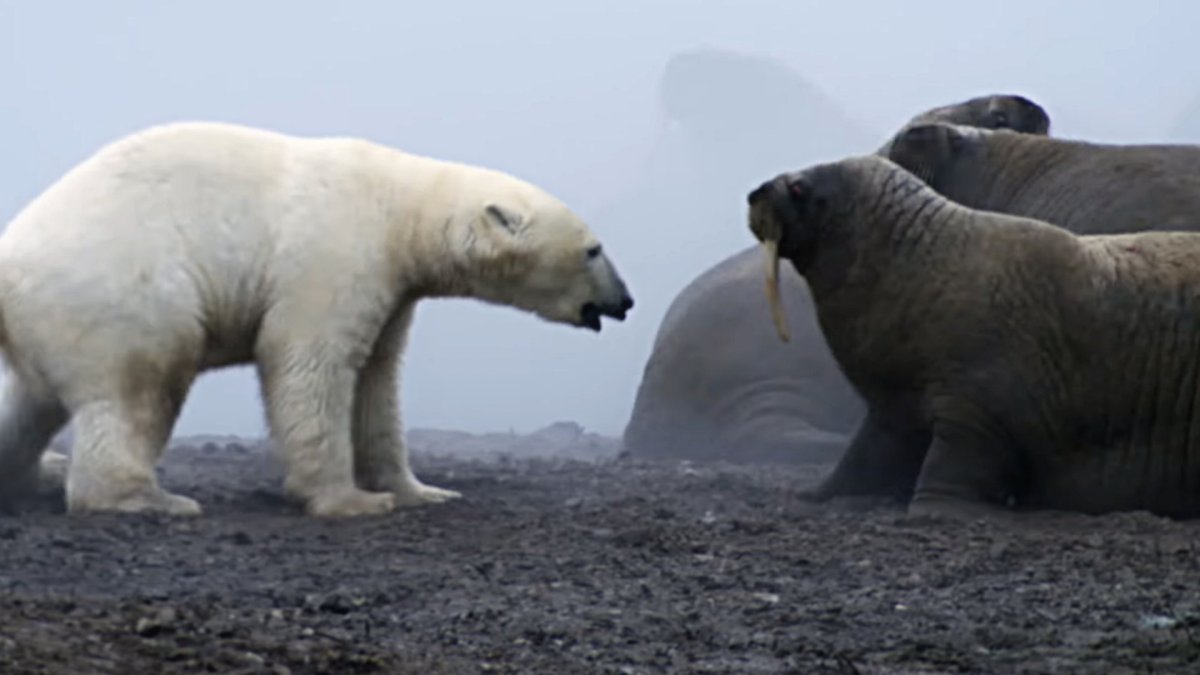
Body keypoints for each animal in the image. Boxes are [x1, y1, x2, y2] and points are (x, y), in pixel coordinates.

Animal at [0, 121, 634, 518]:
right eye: (593, 250)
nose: (625, 301)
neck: (398, 209)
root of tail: (9, 262)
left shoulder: (392, 290)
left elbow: (378, 379)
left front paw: (420, 491)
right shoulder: (336, 253)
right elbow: (312, 365)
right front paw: (349, 502)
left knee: (28, 404)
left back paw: (38, 473)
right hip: (125, 294)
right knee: (142, 387)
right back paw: (146, 498)